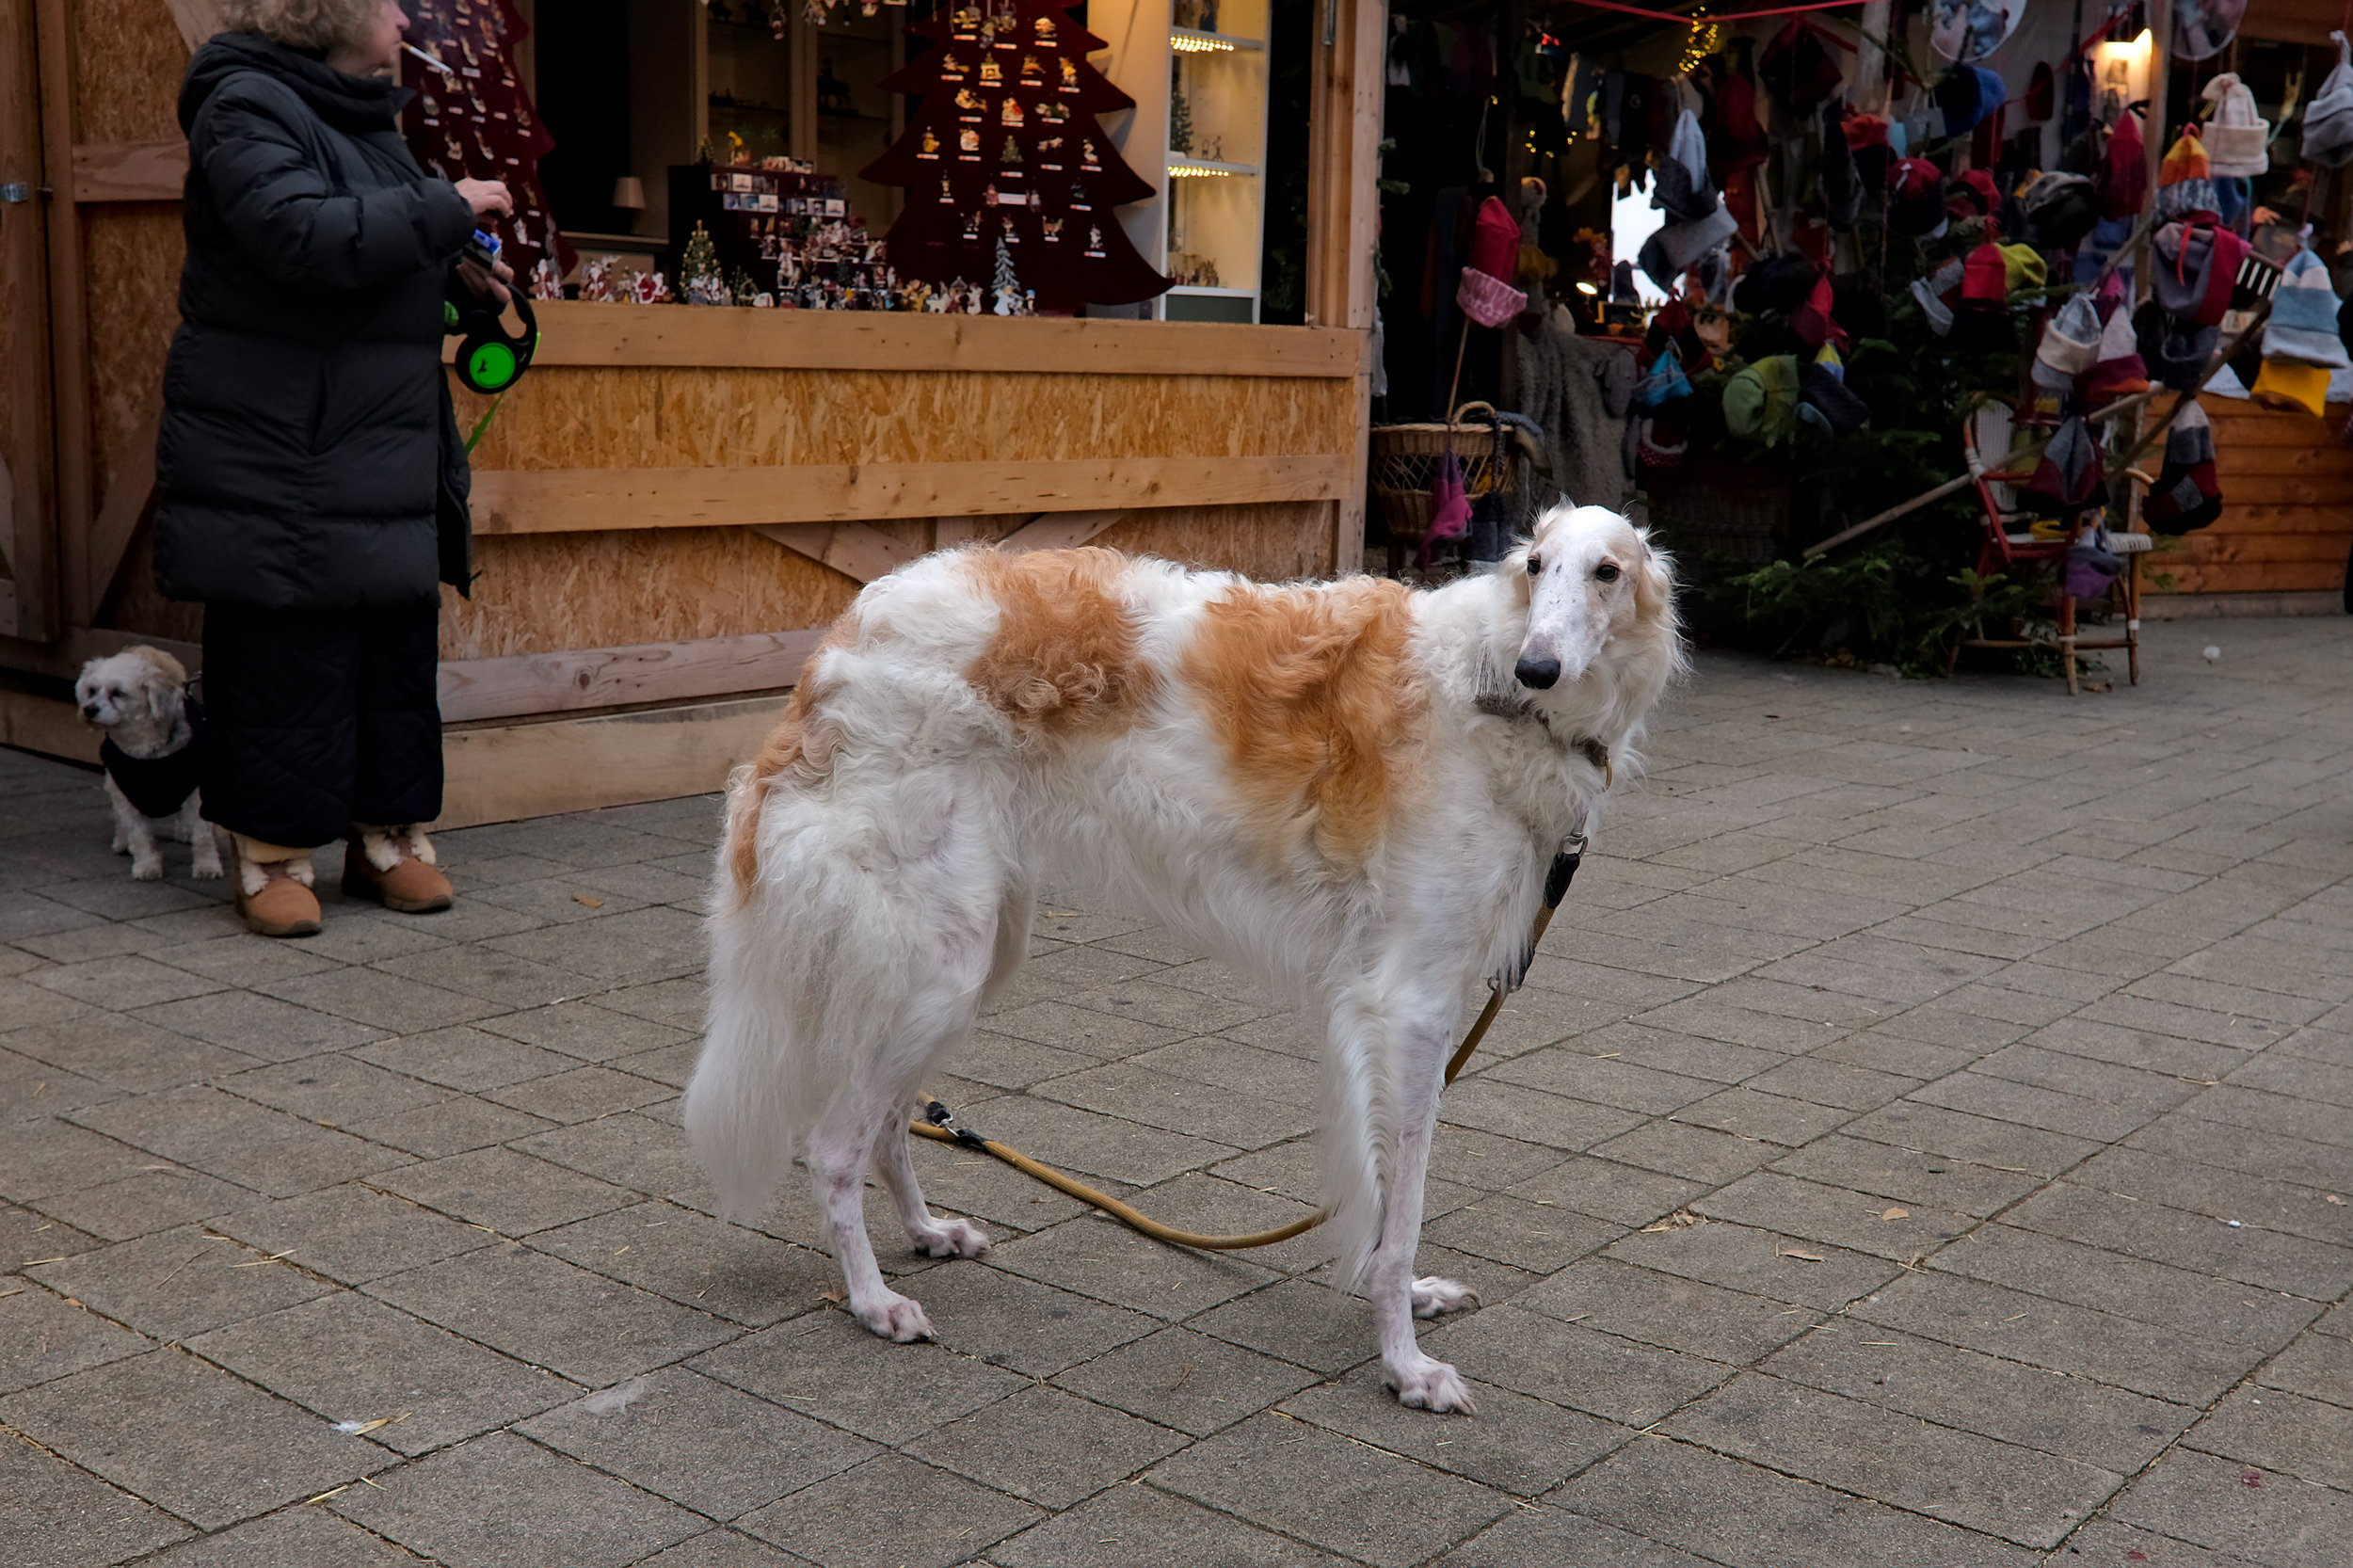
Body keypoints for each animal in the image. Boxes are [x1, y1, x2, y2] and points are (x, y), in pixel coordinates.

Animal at [75, 640, 222, 880]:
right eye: (92, 690)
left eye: (118, 693)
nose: (88, 709)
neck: (146, 749)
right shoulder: (124, 795)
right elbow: (139, 834)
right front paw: (146, 865)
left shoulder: (195, 792)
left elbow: (202, 835)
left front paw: (207, 866)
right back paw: (121, 841)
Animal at [687, 505, 1685, 1412]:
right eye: (1536, 566)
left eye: (1608, 572)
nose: (1537, 666)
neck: (1485, 691)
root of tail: (836, 651)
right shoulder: (1410, 1006)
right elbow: (1397, 1206)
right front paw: (1405, 1367)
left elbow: (1382, 1197)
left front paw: (1405, 1301)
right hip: (940, 960)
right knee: (832, 1144)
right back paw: (872, 1302)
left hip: (973, 954)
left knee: (891, 1120)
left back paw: (929, 1232)